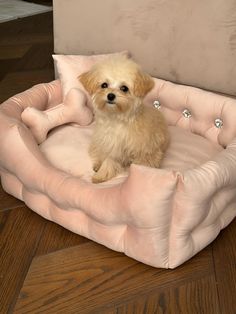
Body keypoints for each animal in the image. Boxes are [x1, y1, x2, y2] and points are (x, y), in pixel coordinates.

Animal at [79, 55, 170, 184]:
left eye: (124, 88)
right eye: (104, 85)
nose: (110, 95)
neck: (117, 118)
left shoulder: (145, 150)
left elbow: (142, 165)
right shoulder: (111, 144)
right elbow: (109, 159)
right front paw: (100, 176)